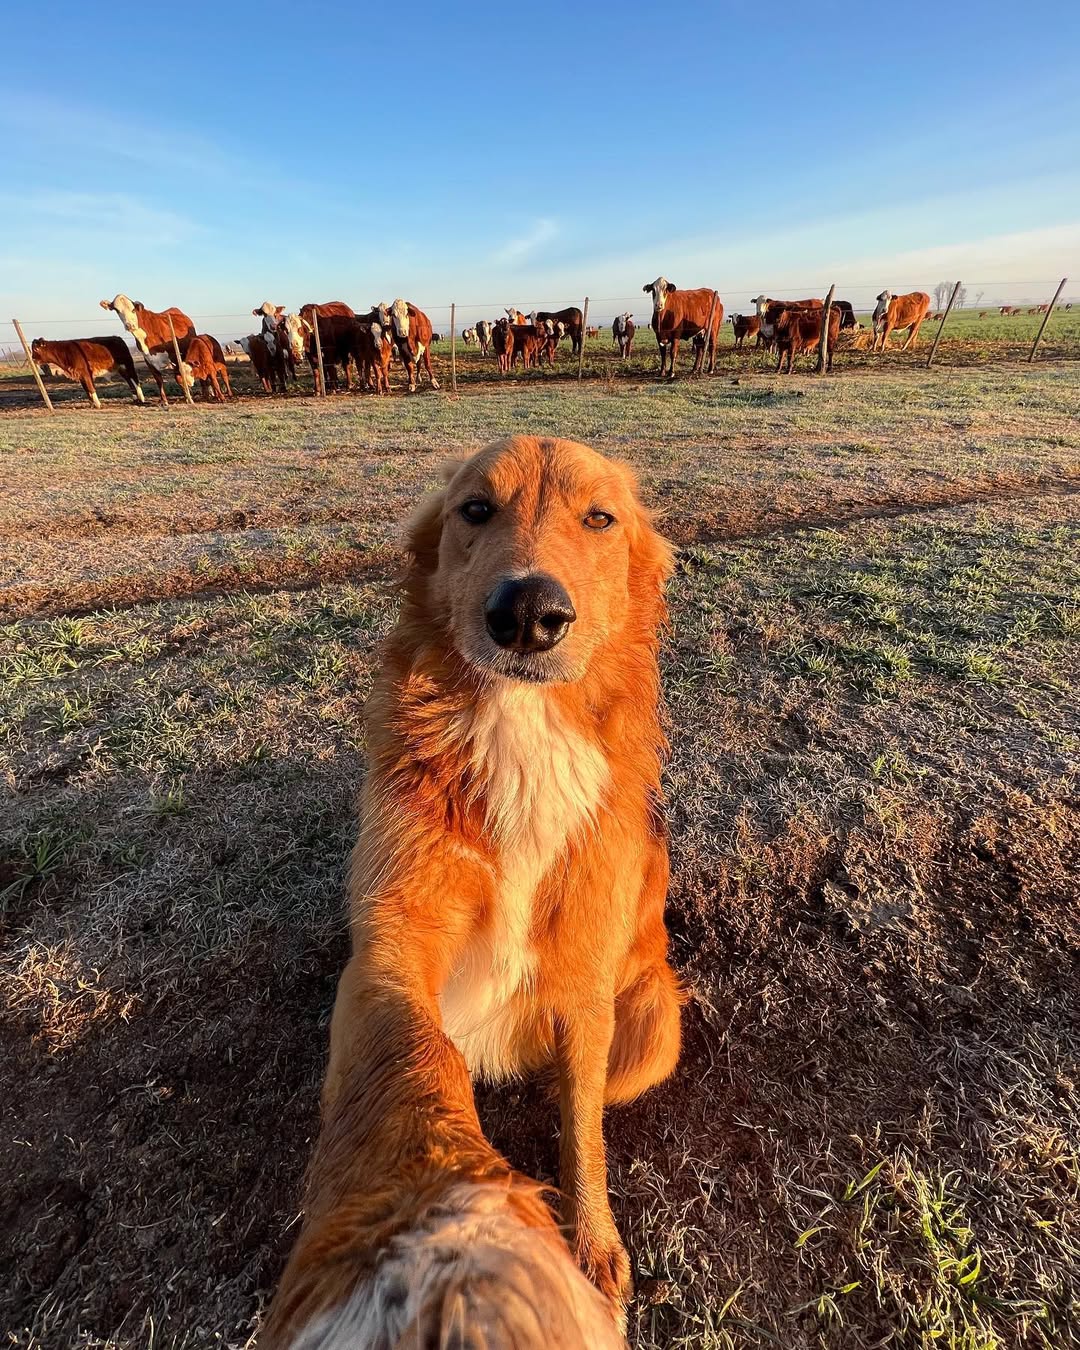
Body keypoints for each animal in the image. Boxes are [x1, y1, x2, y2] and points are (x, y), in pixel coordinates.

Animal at [315, 434, 680, 1328]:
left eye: (599, 518)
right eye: (476, 510)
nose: (528, 613)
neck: (521, 731)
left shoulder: (585, 978)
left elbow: (582, 1125)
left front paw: (592, 1245)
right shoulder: (389, 946)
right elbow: (416, 1059)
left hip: (655, 1021)